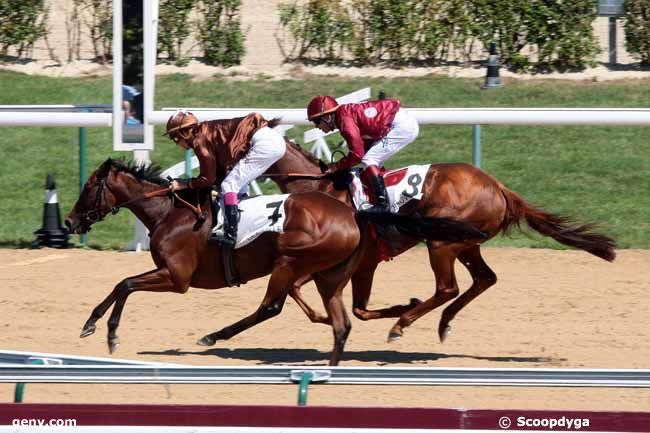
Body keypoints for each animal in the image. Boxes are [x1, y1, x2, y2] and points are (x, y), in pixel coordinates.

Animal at [64, 157, 480, 362]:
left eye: (87, 187)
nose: (69, 221)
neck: (170, 213)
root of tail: (353, 214)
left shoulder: (176, 277)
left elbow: (124, 284)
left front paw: (102, 330)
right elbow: (122, 284)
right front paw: (94, 326)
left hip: (289, 262)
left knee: (271, 306)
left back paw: (215, 335)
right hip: (329, 275)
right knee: (342, 322)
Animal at [262, 140, 612, 342]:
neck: (322, 191)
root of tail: (497, 186)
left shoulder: (353, 261)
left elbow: (308, 292)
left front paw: (400, 308)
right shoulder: (360, 263)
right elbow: (326, 298)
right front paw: (326, 317)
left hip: (441, 244)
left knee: (448, 288)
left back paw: (402, 324)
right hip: (467, 243)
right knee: (485, 278)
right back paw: (442, 322)